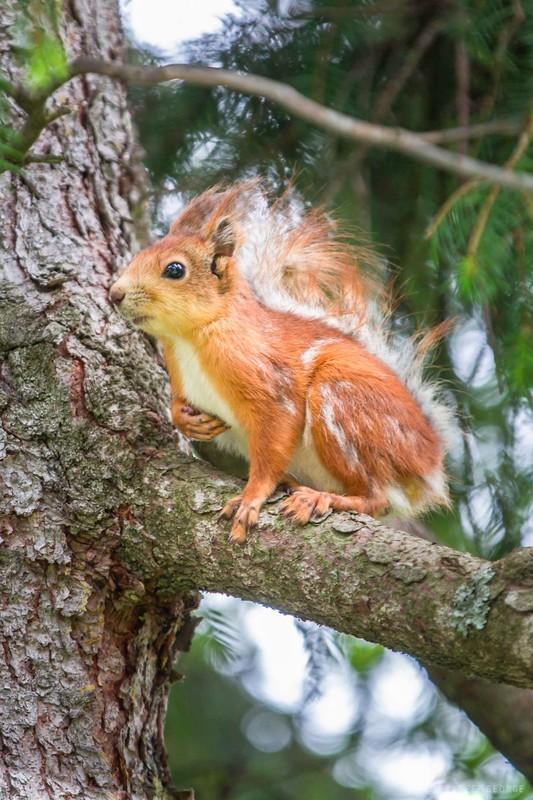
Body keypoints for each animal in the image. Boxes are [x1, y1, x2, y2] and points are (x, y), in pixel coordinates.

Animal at [109, 182, 454, 544]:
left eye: (174, 270)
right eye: (136, 256)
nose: (114, 294)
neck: (188, 339)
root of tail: (429, 459)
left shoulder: (273, 389)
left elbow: (271, 448)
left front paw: (251, 498)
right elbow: (177, 403)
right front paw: (187, 420)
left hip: (340, 399)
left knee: (375, 498)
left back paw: (320, 498)